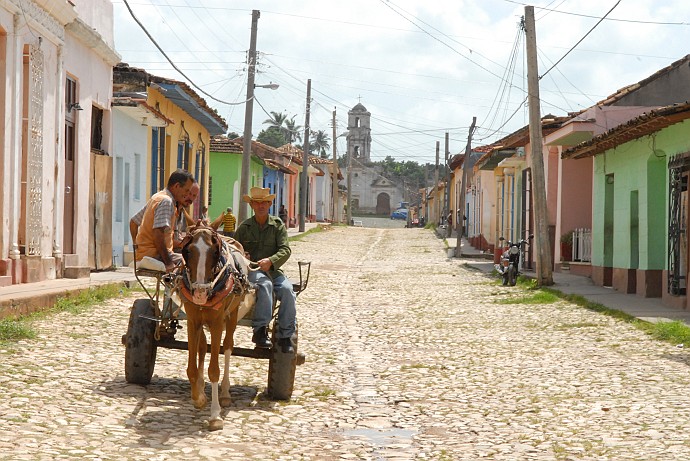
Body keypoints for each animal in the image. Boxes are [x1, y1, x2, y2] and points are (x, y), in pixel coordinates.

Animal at [177, 225, 255, 430]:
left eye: (214, 252)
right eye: (188, 251)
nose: (200, 293)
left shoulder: (218, 323)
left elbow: (214, 370)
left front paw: (215, 415)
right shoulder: (193, 321)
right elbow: (191, 367)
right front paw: (199, 398)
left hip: (232, 315)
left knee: (227, 346)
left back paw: (225, 393)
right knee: (203, 348)